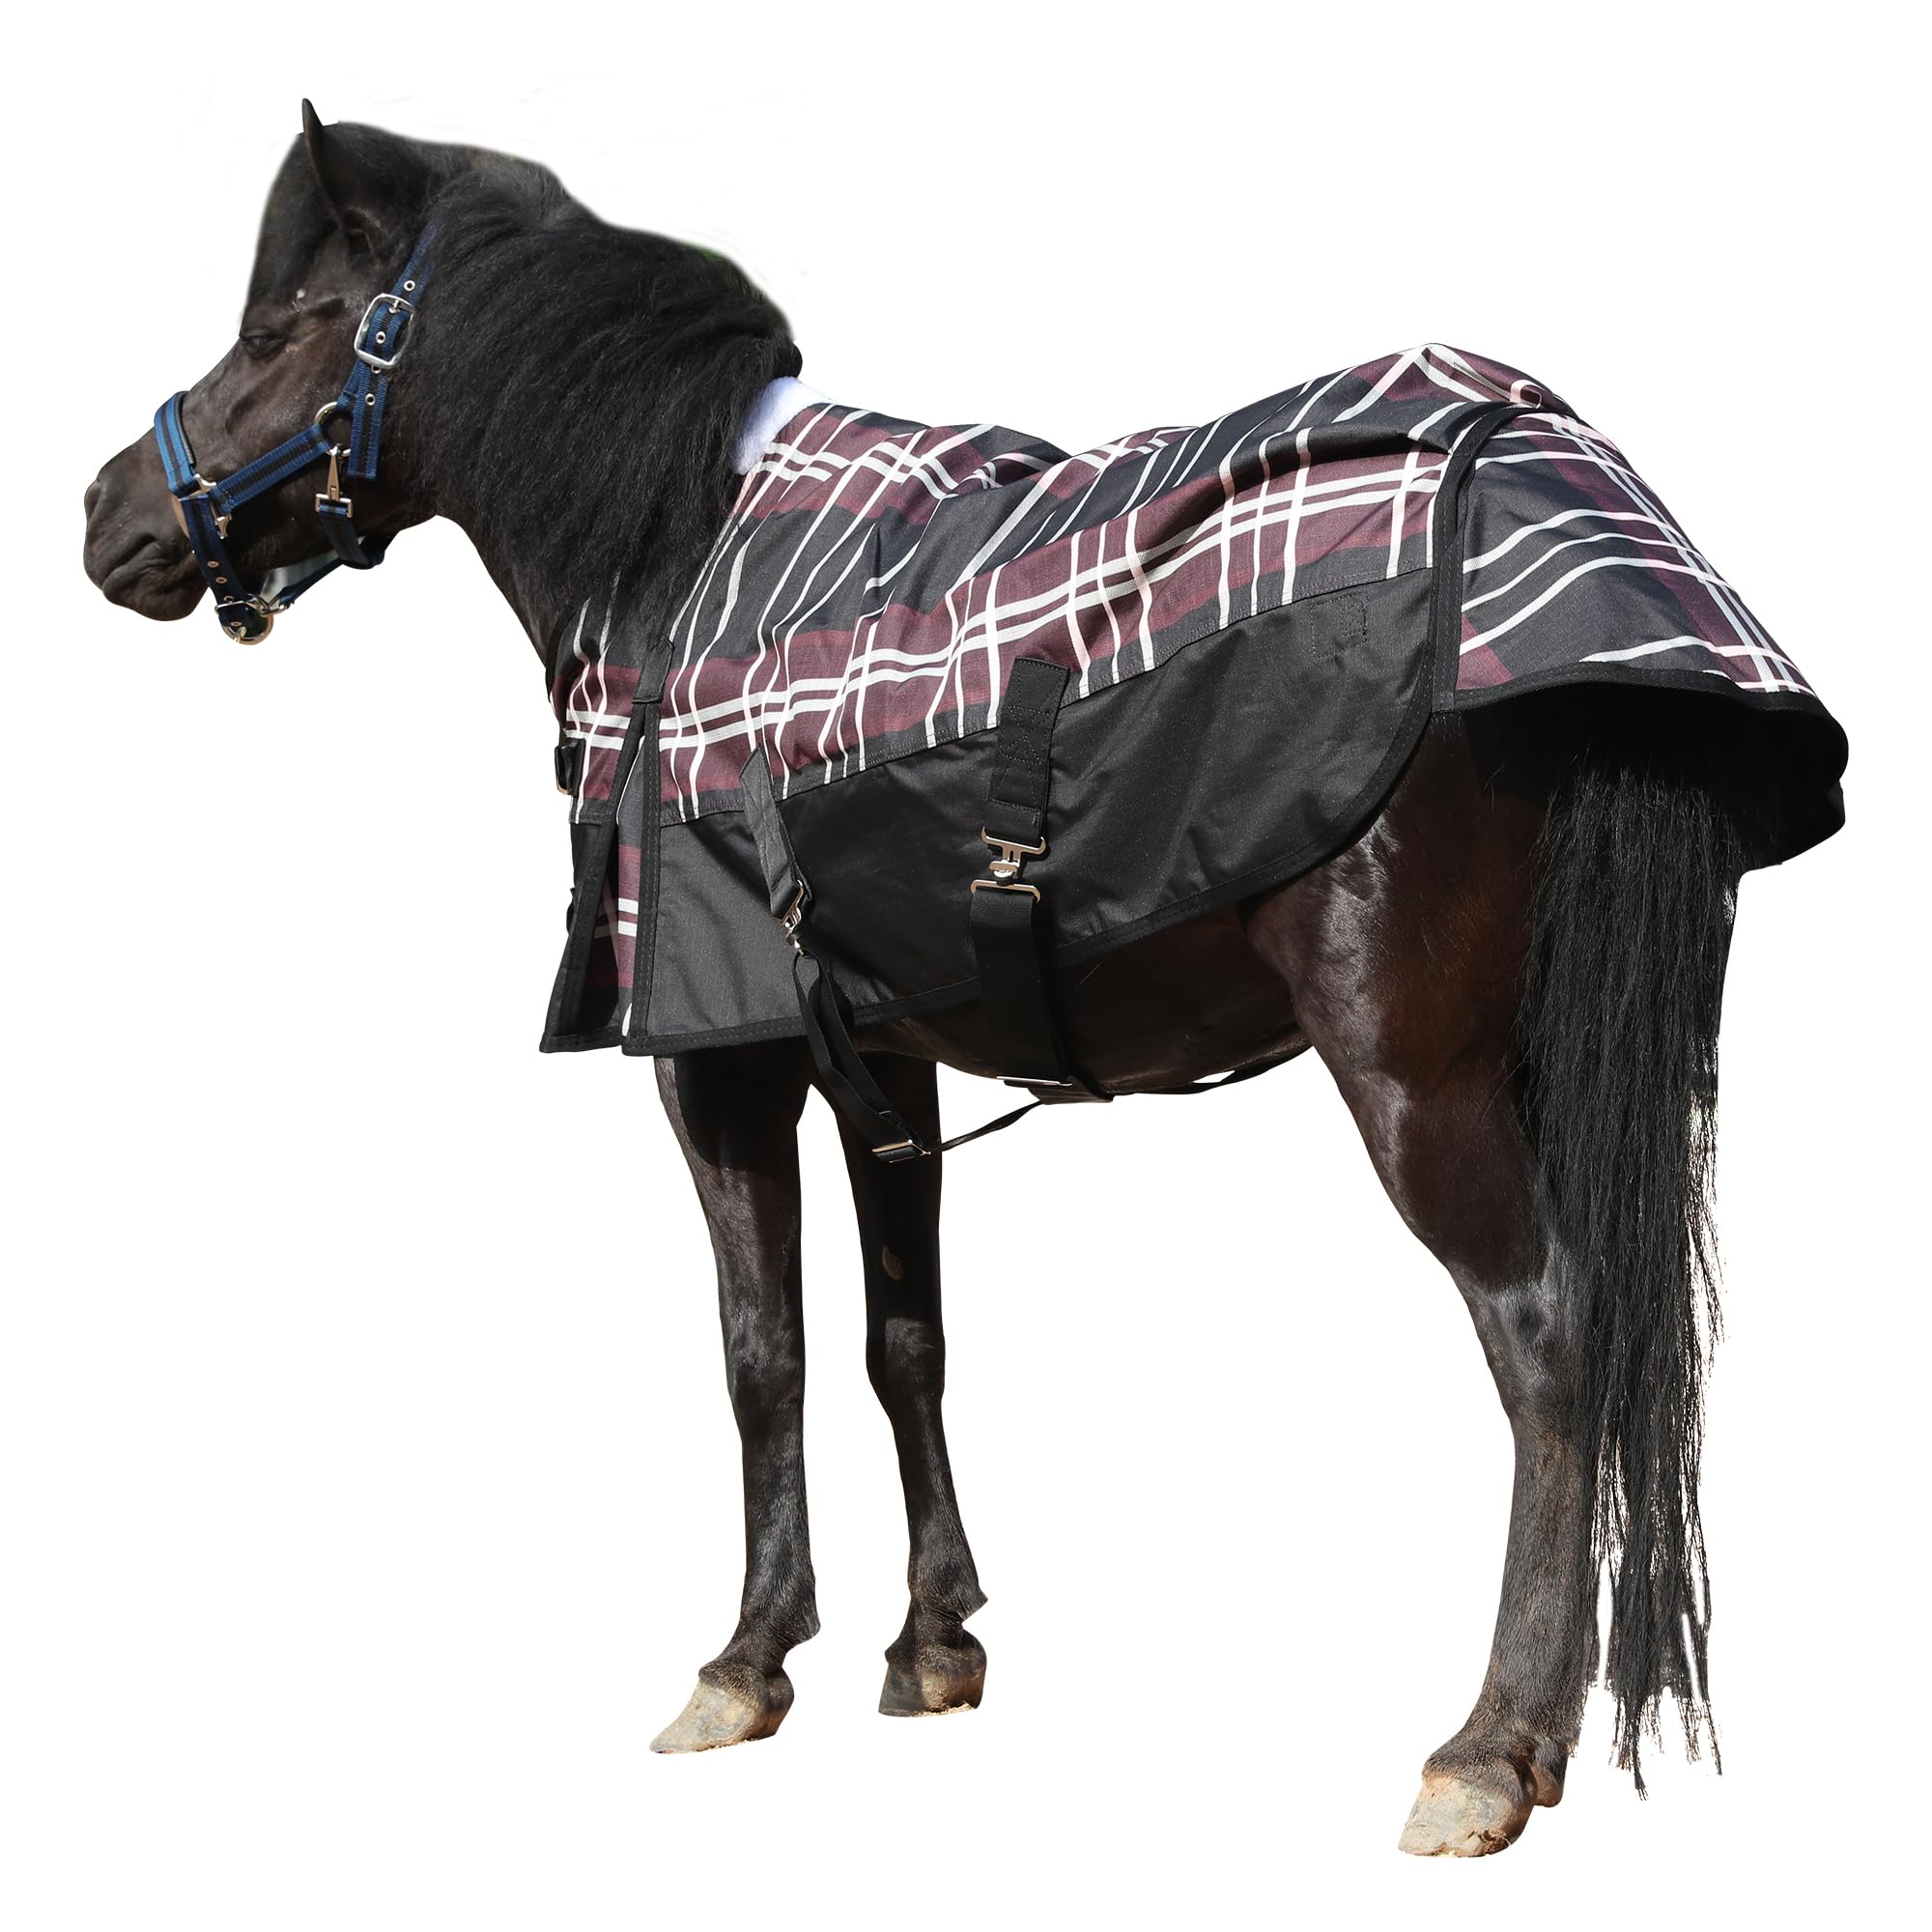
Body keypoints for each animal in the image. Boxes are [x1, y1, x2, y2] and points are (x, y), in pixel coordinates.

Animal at [81, 105, 1847, 1857]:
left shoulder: (716, 1064)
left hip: (1420, 1077)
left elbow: (764, 1350)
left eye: (283, 330)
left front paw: (745, 1661)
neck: (676, 556)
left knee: (1546, 1339)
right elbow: (903, 1338)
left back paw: (1489, 1747)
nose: (110, 514)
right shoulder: (884, 1059)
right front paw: (932, 1642)